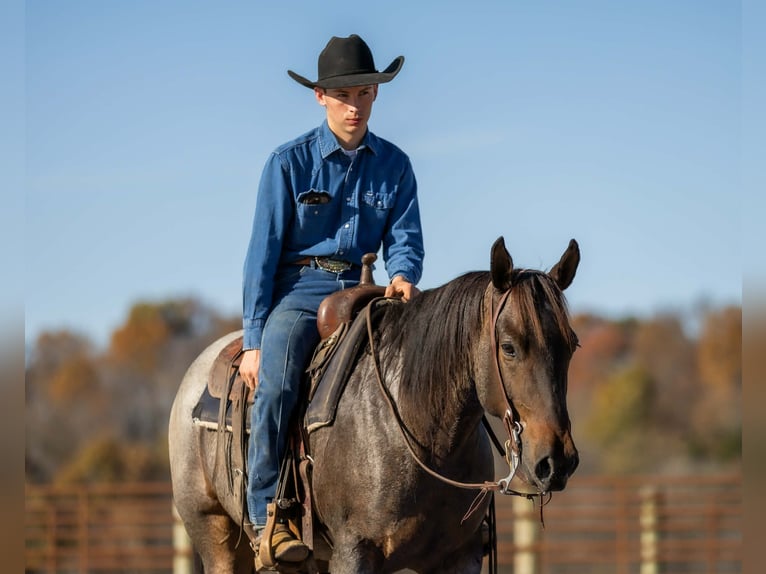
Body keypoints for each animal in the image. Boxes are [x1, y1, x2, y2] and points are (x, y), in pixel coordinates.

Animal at [169, 237, 581, 573]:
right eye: (509, 347)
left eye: (571, 345)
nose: (556, 461)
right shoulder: (355, 552)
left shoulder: (459, 556)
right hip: (215, 534)